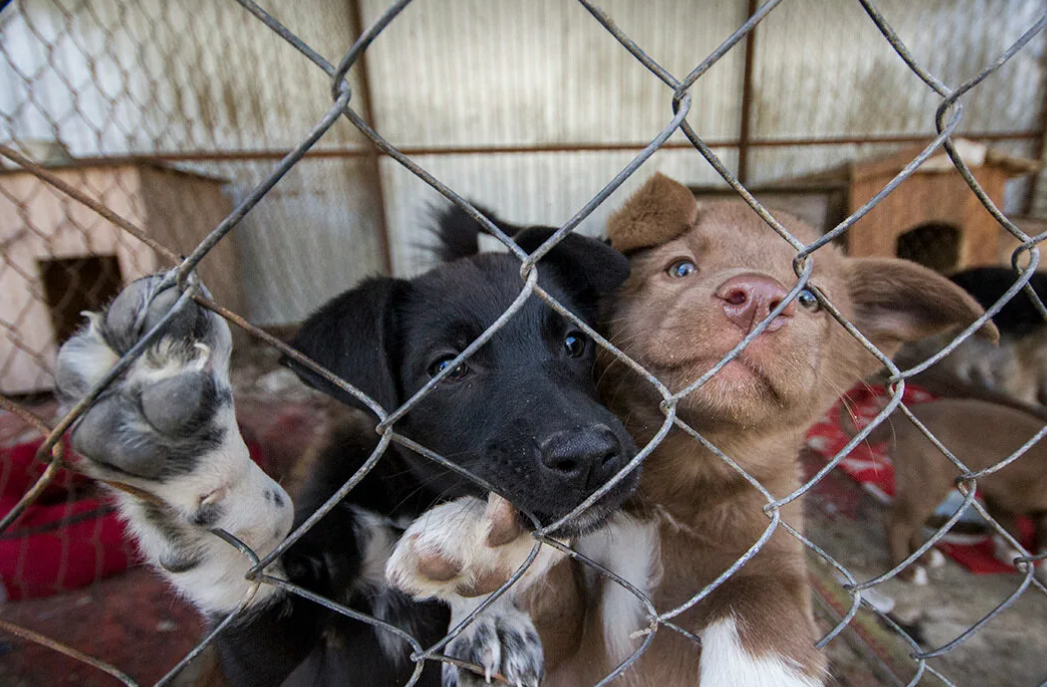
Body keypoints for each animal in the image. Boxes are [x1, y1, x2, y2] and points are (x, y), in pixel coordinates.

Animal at [55, 209, 636, 687]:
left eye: (575, 342)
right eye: (447, 367)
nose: (592, 458)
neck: (400, 503)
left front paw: (485, 592)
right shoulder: (274, 663)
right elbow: (248, 566)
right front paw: (199, 469)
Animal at [875, 397, 1047, 586]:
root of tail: (903, 419)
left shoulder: (999, 497)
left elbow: (1009, 525)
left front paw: (1011, 552)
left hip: (921, 488)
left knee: (912, 523)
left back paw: (926, 557)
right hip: (927, 483)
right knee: (896, 524)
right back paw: (907, 571)